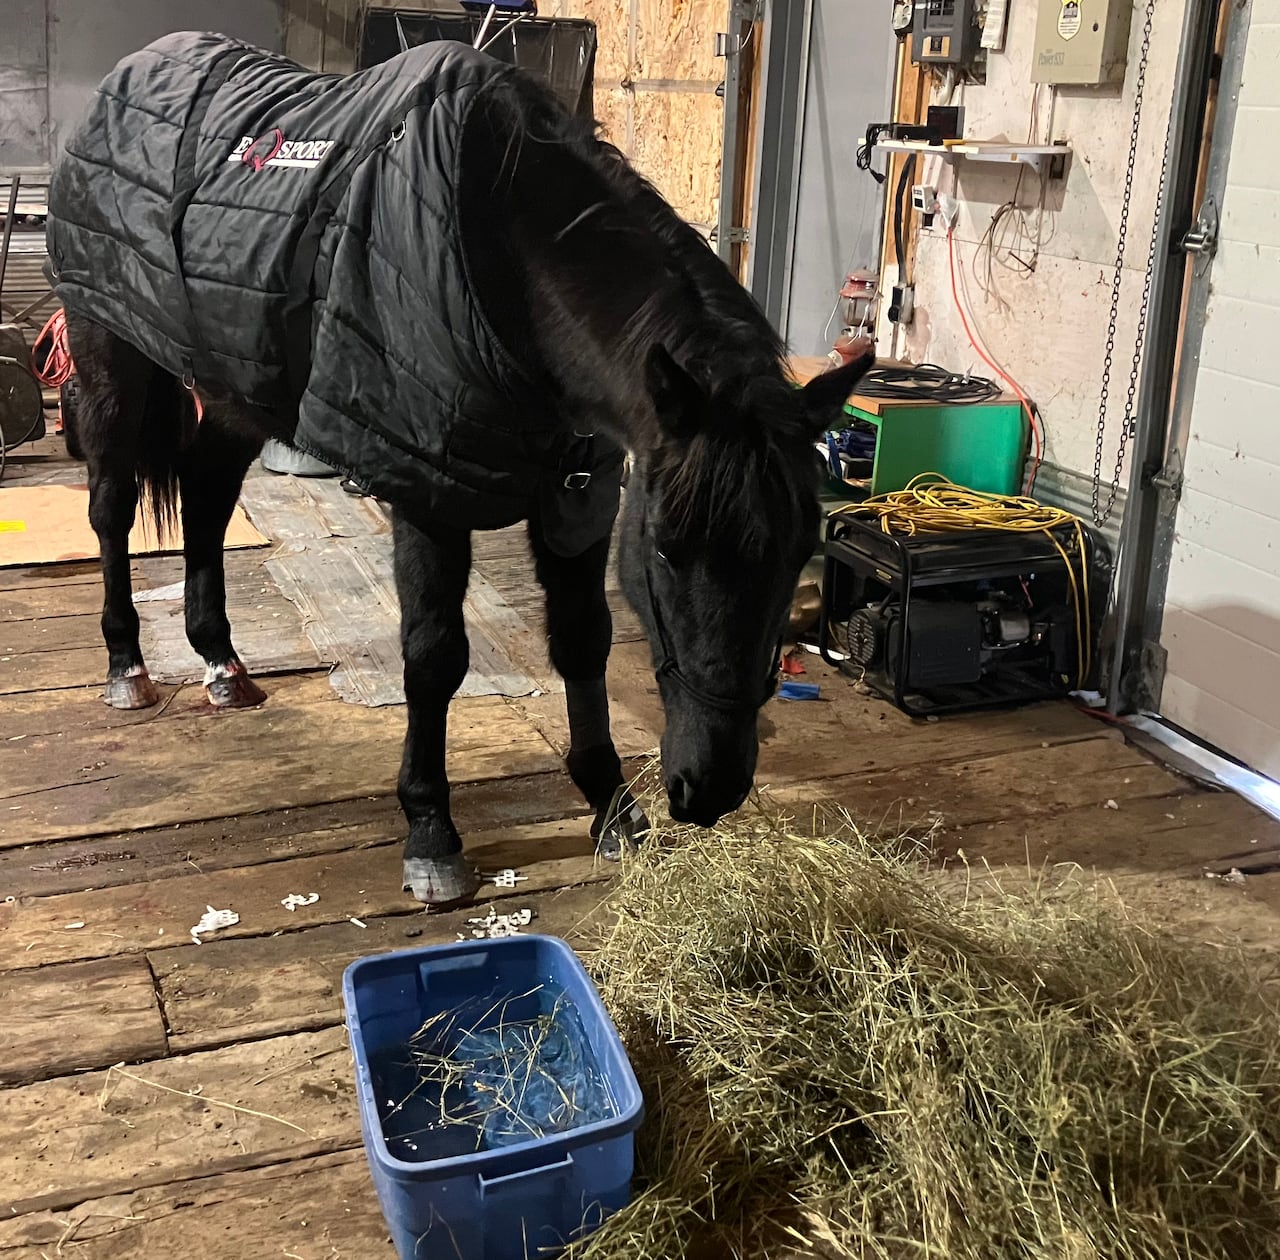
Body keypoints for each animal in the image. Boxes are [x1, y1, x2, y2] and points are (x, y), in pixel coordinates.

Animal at [46, 33, 873, 906]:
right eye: (664, 551)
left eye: (799, 552)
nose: (709, 789)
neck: (509, 258)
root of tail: (128, 70)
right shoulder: (427, 491)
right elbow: (435, 657)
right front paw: (432, 832)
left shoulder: (579, 498)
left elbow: (582, 640)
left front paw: (611, 804)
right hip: (111, 352)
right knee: (111, 507)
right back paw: (128, 665)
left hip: (241, 380)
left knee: (206, 495)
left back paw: (221, 663)